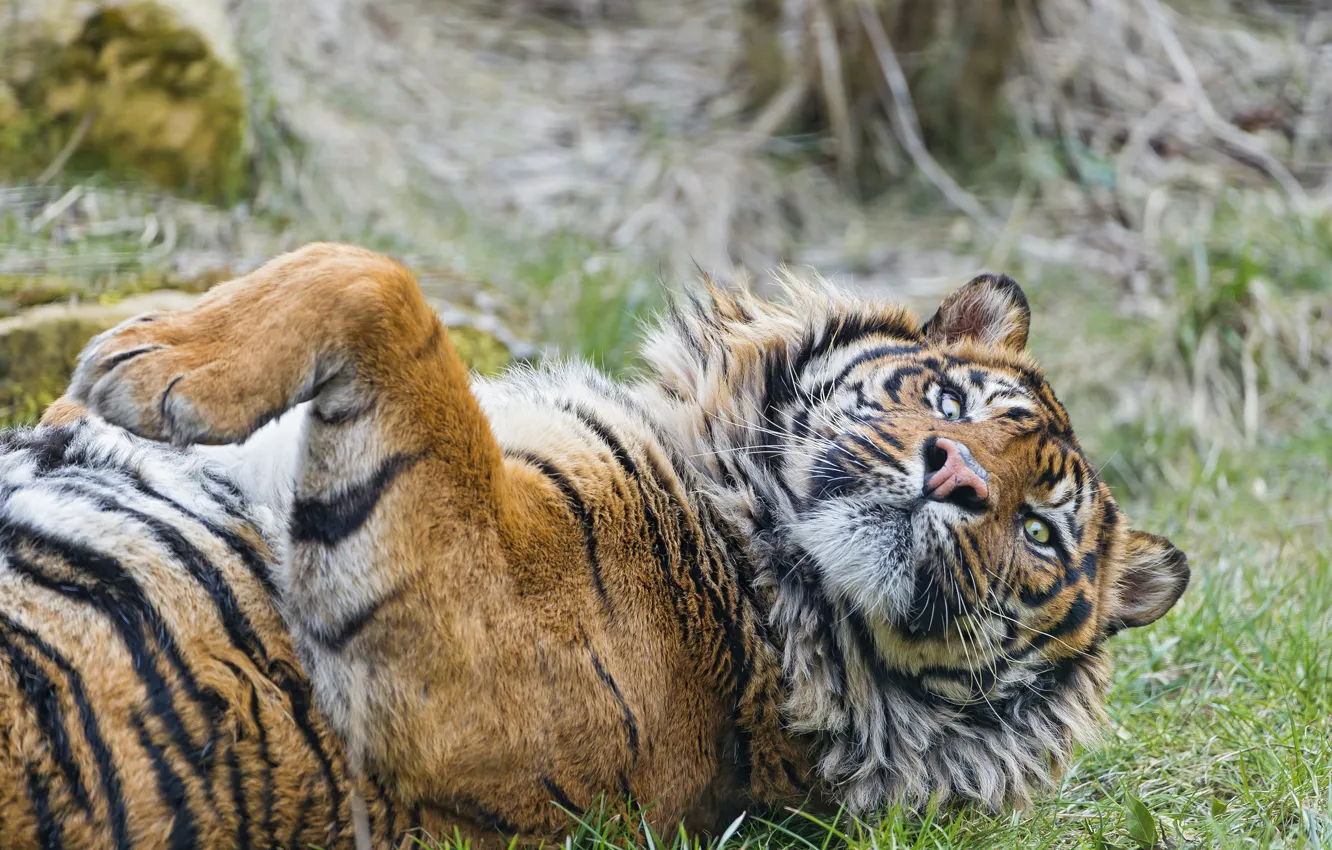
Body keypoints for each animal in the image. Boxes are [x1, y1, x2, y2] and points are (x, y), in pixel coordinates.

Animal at [0, 242, 1189, 849]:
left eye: (1038, 532)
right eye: (952, 401)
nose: (957, 475)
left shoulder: (462, 650)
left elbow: (382, 284)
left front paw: (148, 361)